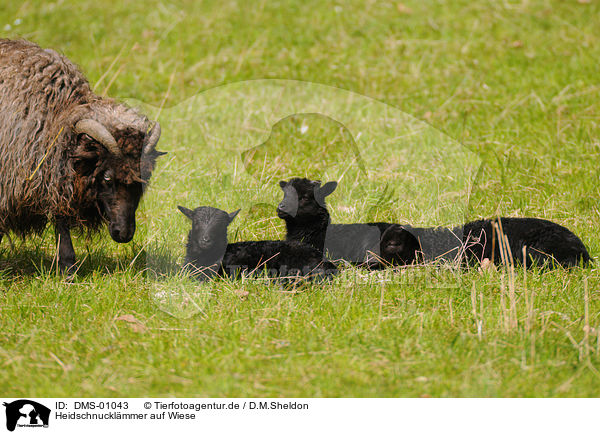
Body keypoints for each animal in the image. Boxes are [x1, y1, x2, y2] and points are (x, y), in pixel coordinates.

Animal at [0, 39, 164, 272]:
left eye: (145, 178)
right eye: (107, 178)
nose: (124, 234)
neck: (55, 117)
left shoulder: (57, 177)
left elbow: (61, 222)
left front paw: (68, 267)